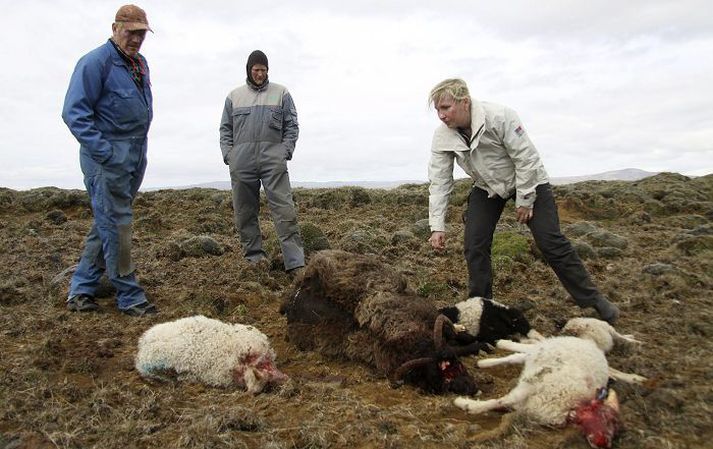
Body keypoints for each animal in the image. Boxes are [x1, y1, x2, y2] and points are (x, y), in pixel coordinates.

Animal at [456, 316, 644, 446]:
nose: (561, 322)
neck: (590, 342)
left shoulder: (537, 350)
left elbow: (516, 353)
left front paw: (495, 350)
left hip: (534, 381)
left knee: (504, 399)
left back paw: (465, 403)